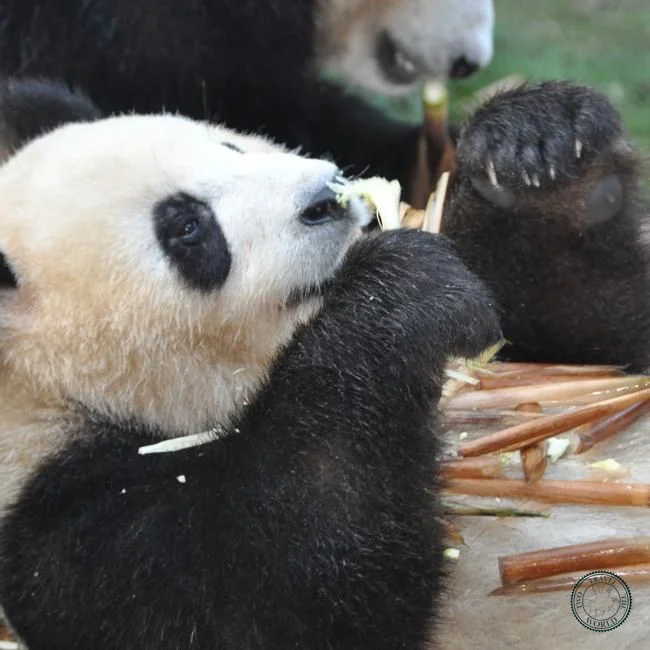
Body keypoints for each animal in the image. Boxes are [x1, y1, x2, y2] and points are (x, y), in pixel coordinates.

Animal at [0, 77, 648, 649]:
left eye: (229, 146)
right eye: (187, 228)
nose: (324, 198)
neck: (57, 391)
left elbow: (592, 324)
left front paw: (538, 148)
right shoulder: (57, 527)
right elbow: (271, 597)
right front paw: (404, 295)